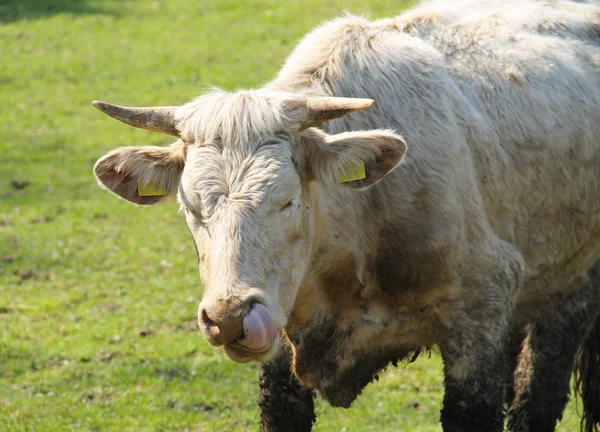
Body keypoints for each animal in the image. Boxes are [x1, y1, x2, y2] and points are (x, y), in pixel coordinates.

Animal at [90, 1, 600, 430]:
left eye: (287, 200)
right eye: (191, 207)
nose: (229, 317)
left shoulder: (479, 318)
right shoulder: (281, 347)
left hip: (570, 288)